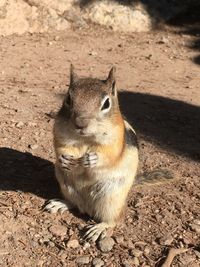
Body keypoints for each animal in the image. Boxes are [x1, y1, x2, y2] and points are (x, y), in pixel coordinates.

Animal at [44, 65, 175, 243]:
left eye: (106, 103)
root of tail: (87, 205)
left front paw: (92, 158)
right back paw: (61, 203)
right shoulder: (59, 132)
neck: (85, 138)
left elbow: (110, 154)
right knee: (74, 203)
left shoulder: (116, 138)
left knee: (115, 220)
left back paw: (99, 228)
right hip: (66, 186)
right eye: (68, 99)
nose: (80, 124)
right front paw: (64, 158)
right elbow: (60, 146)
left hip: (111, 198)